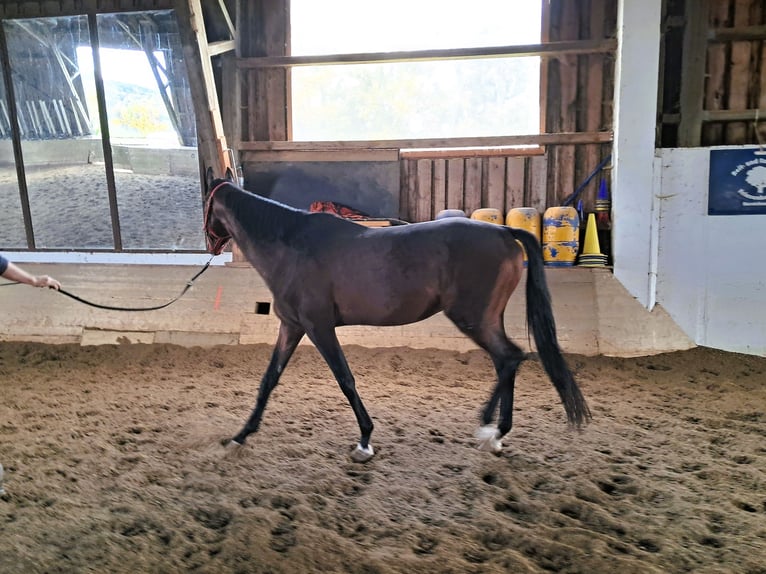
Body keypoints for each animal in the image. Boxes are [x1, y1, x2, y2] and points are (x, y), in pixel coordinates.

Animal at [201, 170, 592, 464]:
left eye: (205, 203)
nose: (209, 244)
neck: (290, 247)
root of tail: (504, 230)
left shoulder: (318, 327)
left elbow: (345, 380)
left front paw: (364, 442)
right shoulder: (292, 326)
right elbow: (269, 380)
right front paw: (240, 436)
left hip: (472, 318)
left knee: (509, 357)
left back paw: (491, 430)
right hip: (486, 319)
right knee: (507, 360)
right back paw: (493, 433)